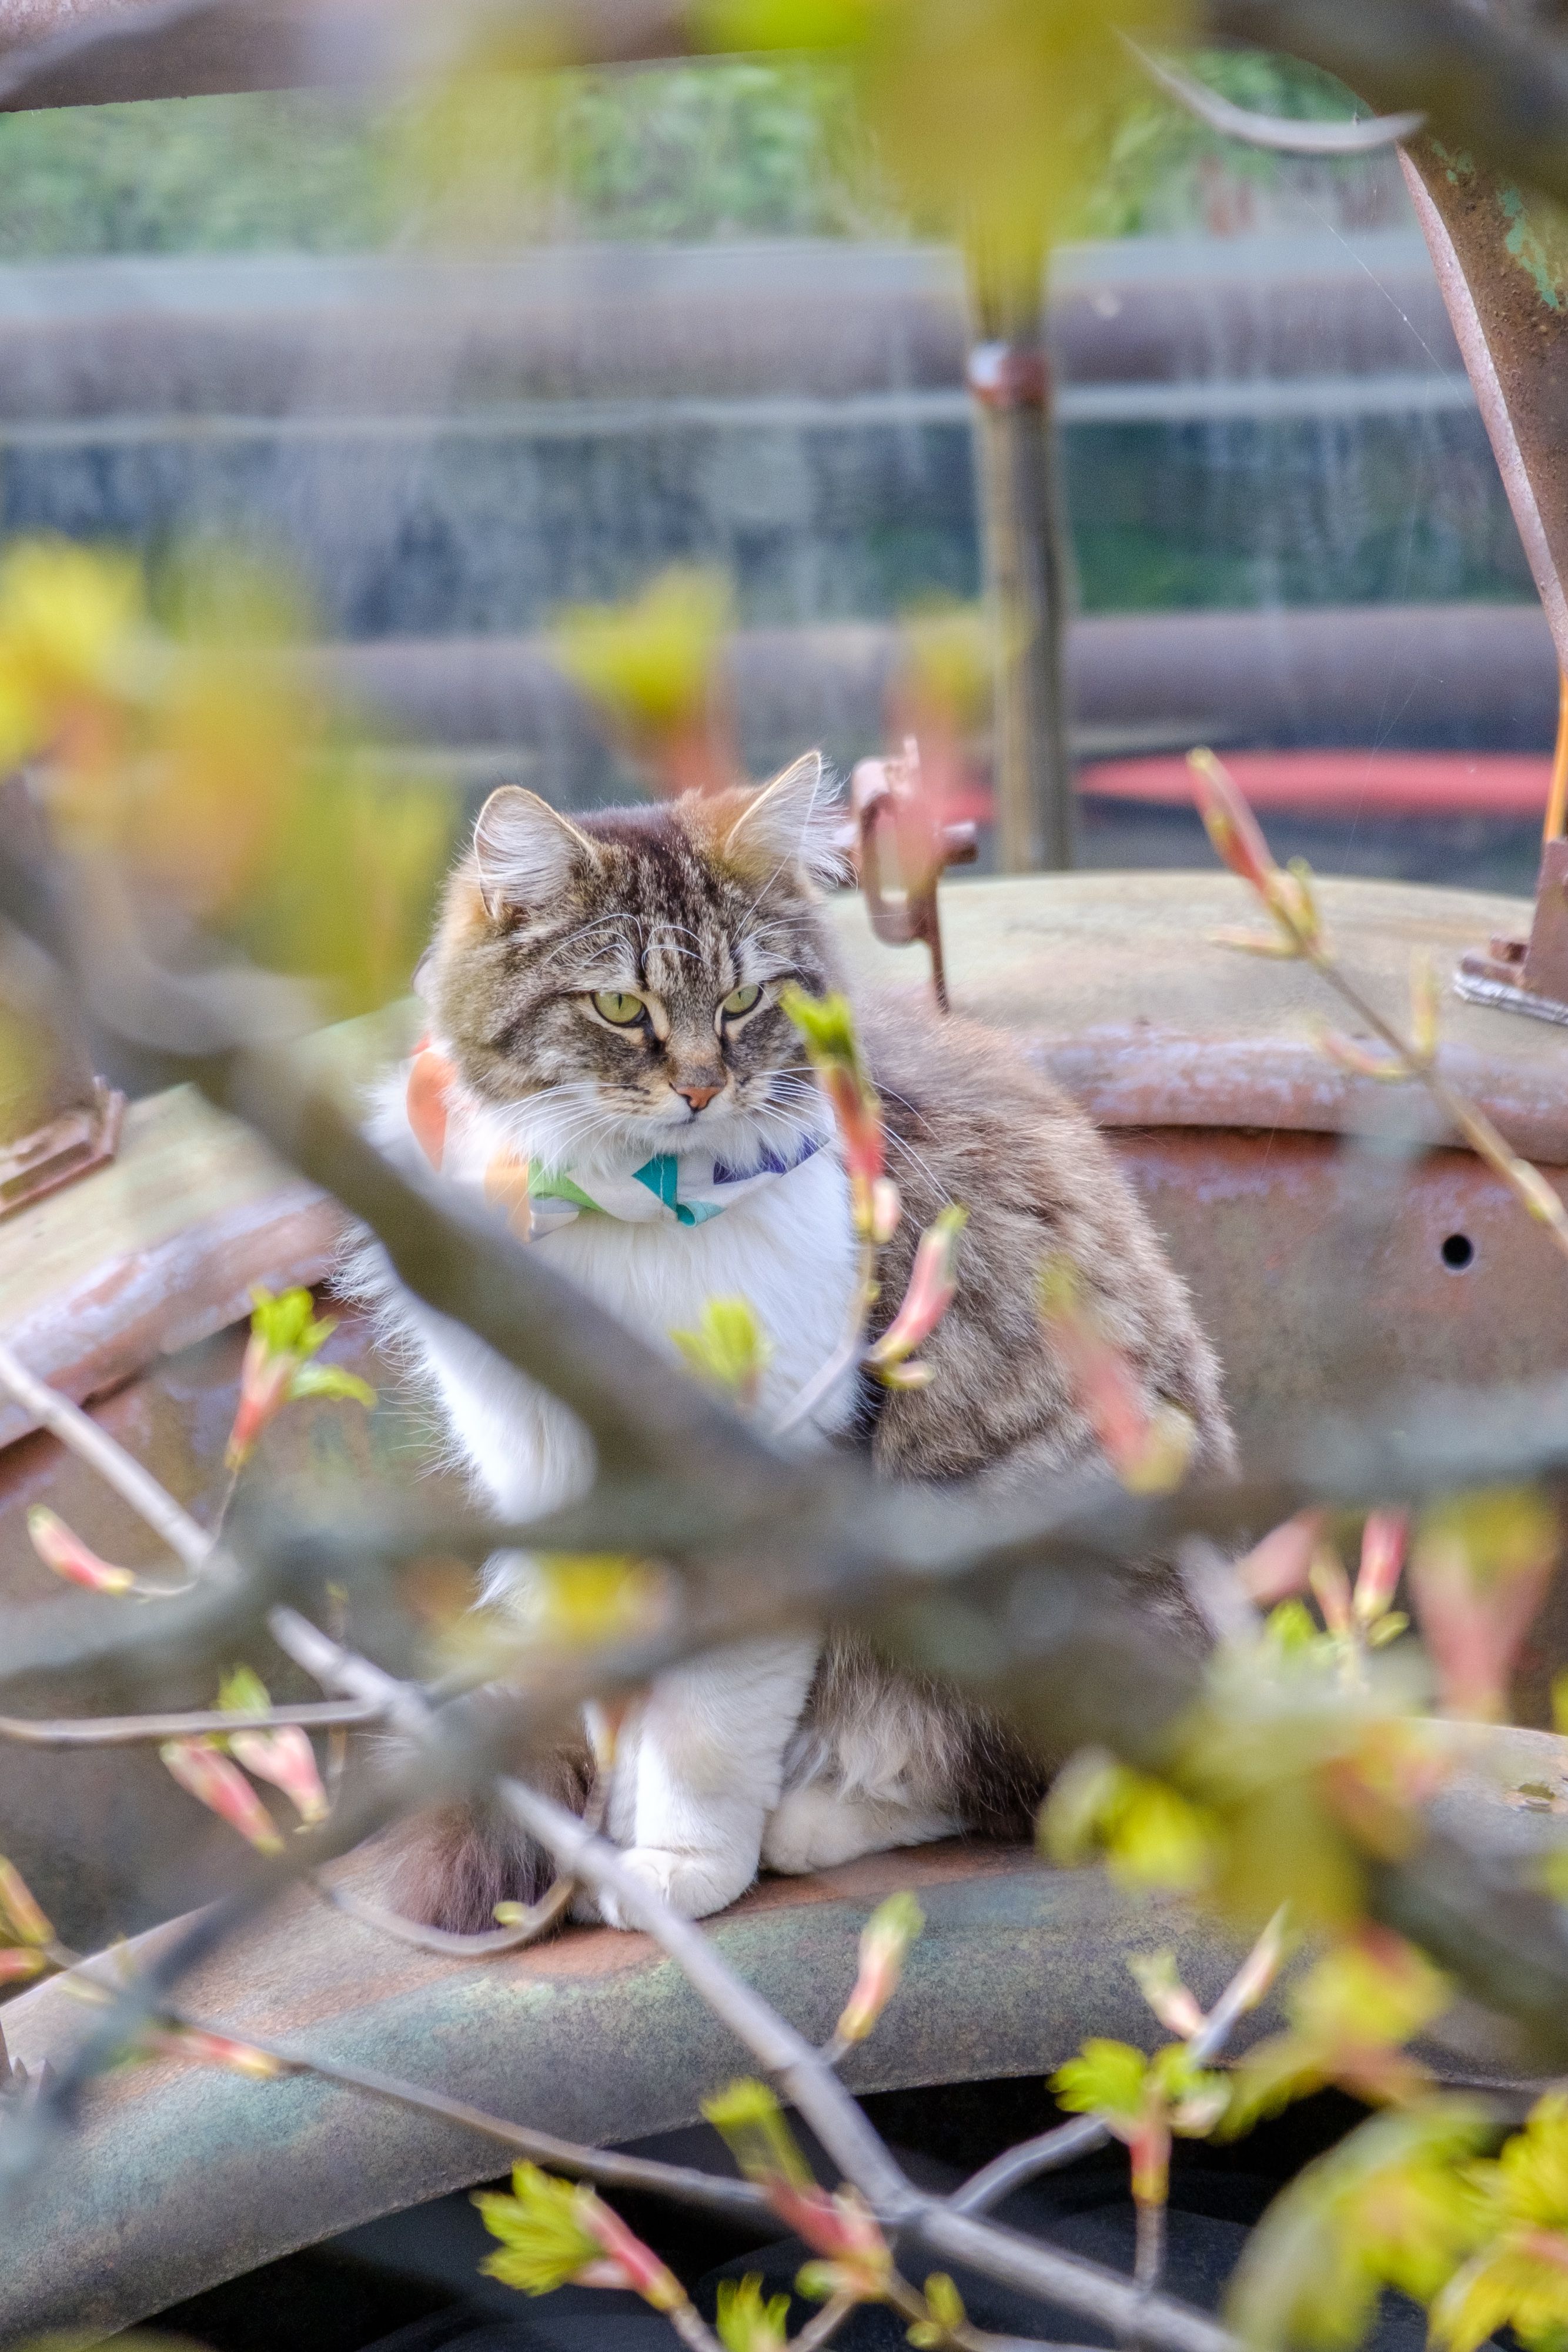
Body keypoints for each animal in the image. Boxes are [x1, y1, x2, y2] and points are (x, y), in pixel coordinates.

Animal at [359, 753, 1241, 1929]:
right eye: (620, 1006)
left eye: (744, 1000)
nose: (700, 1088)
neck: (630, 1208)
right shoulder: (561, 1491)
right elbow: (626, 1710)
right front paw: (619, 1846)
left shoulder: (765, 1485)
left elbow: (703, 1728)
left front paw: (681, 1863)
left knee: (1014, 1786)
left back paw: (815, 1817)